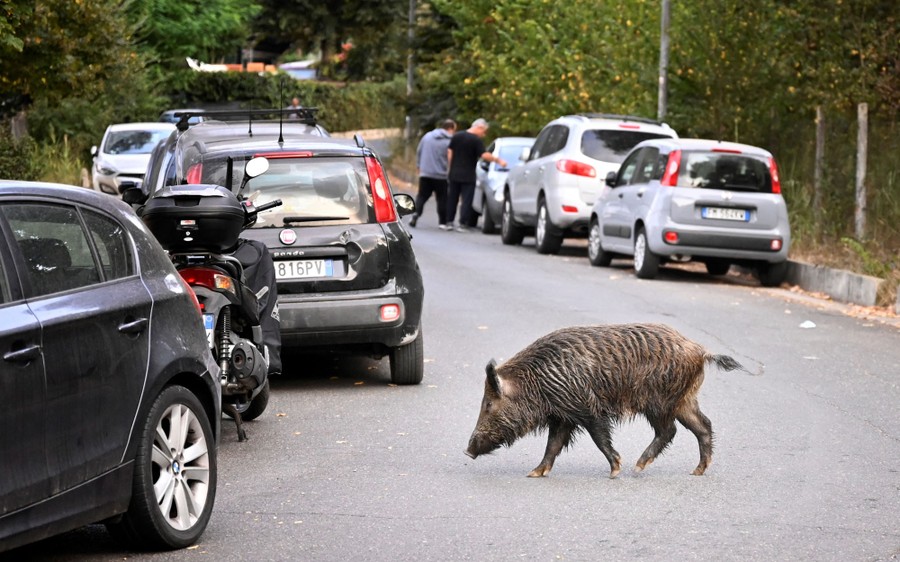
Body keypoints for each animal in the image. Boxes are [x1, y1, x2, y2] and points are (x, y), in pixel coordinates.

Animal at [465, 323, 743, 477]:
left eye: (488, 404)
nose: (467, 451)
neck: (539, 382)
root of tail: (701, 350)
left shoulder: (587, 408)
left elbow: (598, 438)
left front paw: (615, 470)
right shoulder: (563, 416)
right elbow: (552, 445)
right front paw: (533, 474)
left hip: (659, 402)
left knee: (670, 430)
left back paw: (637, 467)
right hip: (683, 400)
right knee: (703, 426)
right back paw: (696, 471)